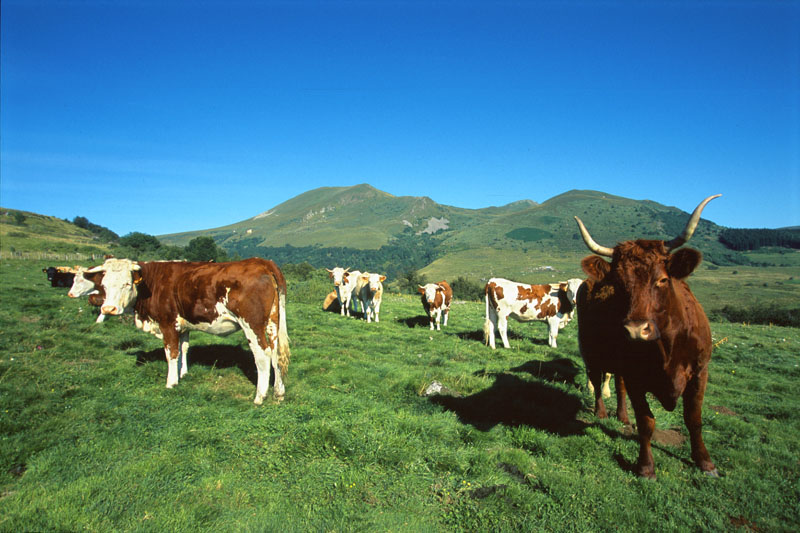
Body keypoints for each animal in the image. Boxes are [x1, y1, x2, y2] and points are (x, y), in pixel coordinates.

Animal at [85, 257, 290, 404]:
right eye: (104, 285)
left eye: (127, 284)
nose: (108, 309)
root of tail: (261, 262)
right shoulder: (183, 326)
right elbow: (183, 348)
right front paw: (182, 373)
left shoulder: (168, 323)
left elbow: (171, 353)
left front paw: (171, 383)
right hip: (272, 322)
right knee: (276, 354)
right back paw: (278, 392)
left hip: (252, 325)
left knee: (262, 355)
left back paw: (260, 397)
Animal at [574, 194, 720, 478]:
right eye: (618, 283)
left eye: (662, 279)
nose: (634, 330)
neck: (666, 346)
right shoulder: (636, 377)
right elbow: (646, 421)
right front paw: (645, 466)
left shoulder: (700, 371)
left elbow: (694, 419)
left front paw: (705, 462)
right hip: (591, 351)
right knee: (597, 380)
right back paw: (602, 412)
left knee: (617, 384)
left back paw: (622, 416)